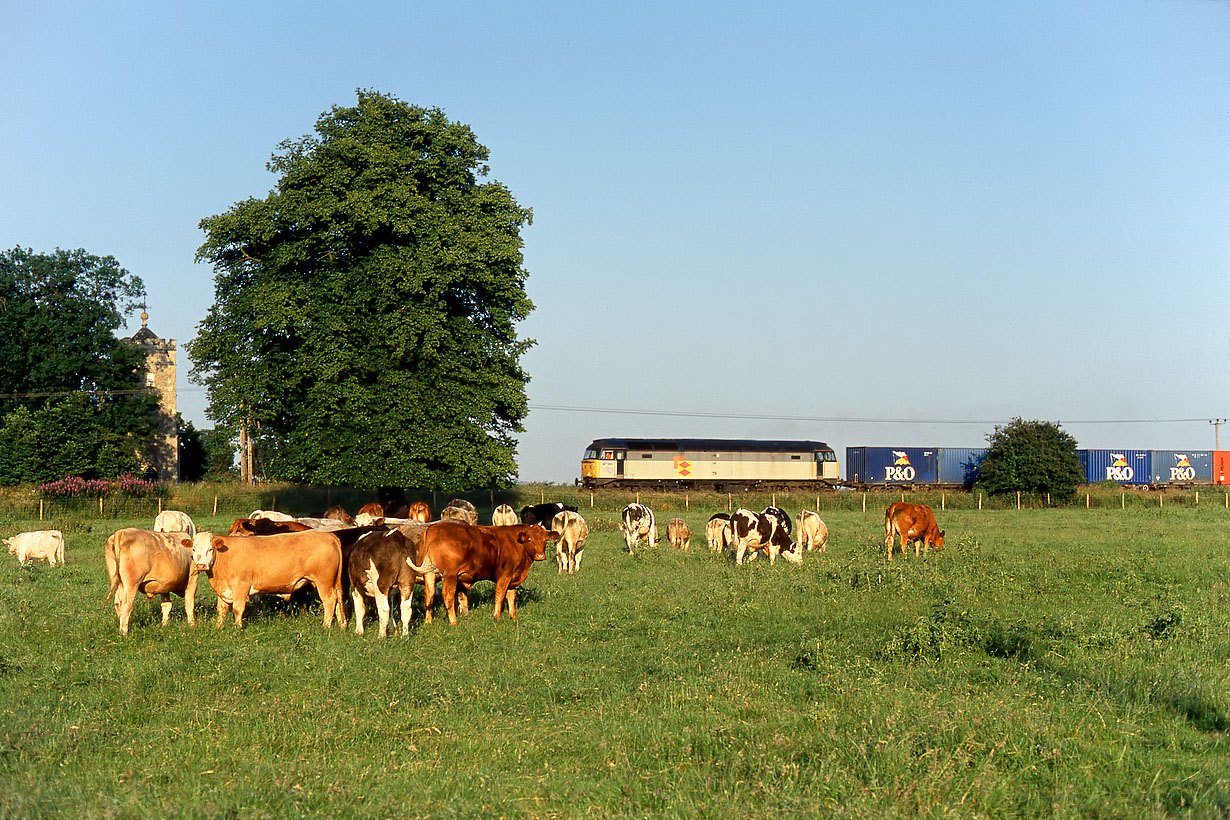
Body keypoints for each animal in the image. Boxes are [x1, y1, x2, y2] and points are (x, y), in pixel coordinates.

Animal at [189, 528, 349, 634]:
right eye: (193, 549)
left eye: (210, 549)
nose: (200, 565)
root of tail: (328, 535)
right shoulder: (224, 589)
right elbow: (221, 610)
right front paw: (218, 627)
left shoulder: (241, 586)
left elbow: (237, 608)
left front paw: (237, 628)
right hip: (333, 582)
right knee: (339, 600)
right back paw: (342, 625)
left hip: (323, 581)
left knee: (330, 600)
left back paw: (326, 626)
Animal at [410, 523, 555, 624]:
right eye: (530, 539)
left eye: (545, 540)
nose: (540, 556)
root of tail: (434, 528)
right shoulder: (505, 575)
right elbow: (500, 595)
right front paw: (497, 617)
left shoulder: (513, 577)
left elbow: (511, 596)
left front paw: (513, 616)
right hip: (450, 575)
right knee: (448, 596)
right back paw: (453, 621)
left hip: (430, 573)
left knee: (429, 596)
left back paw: (428, 622)